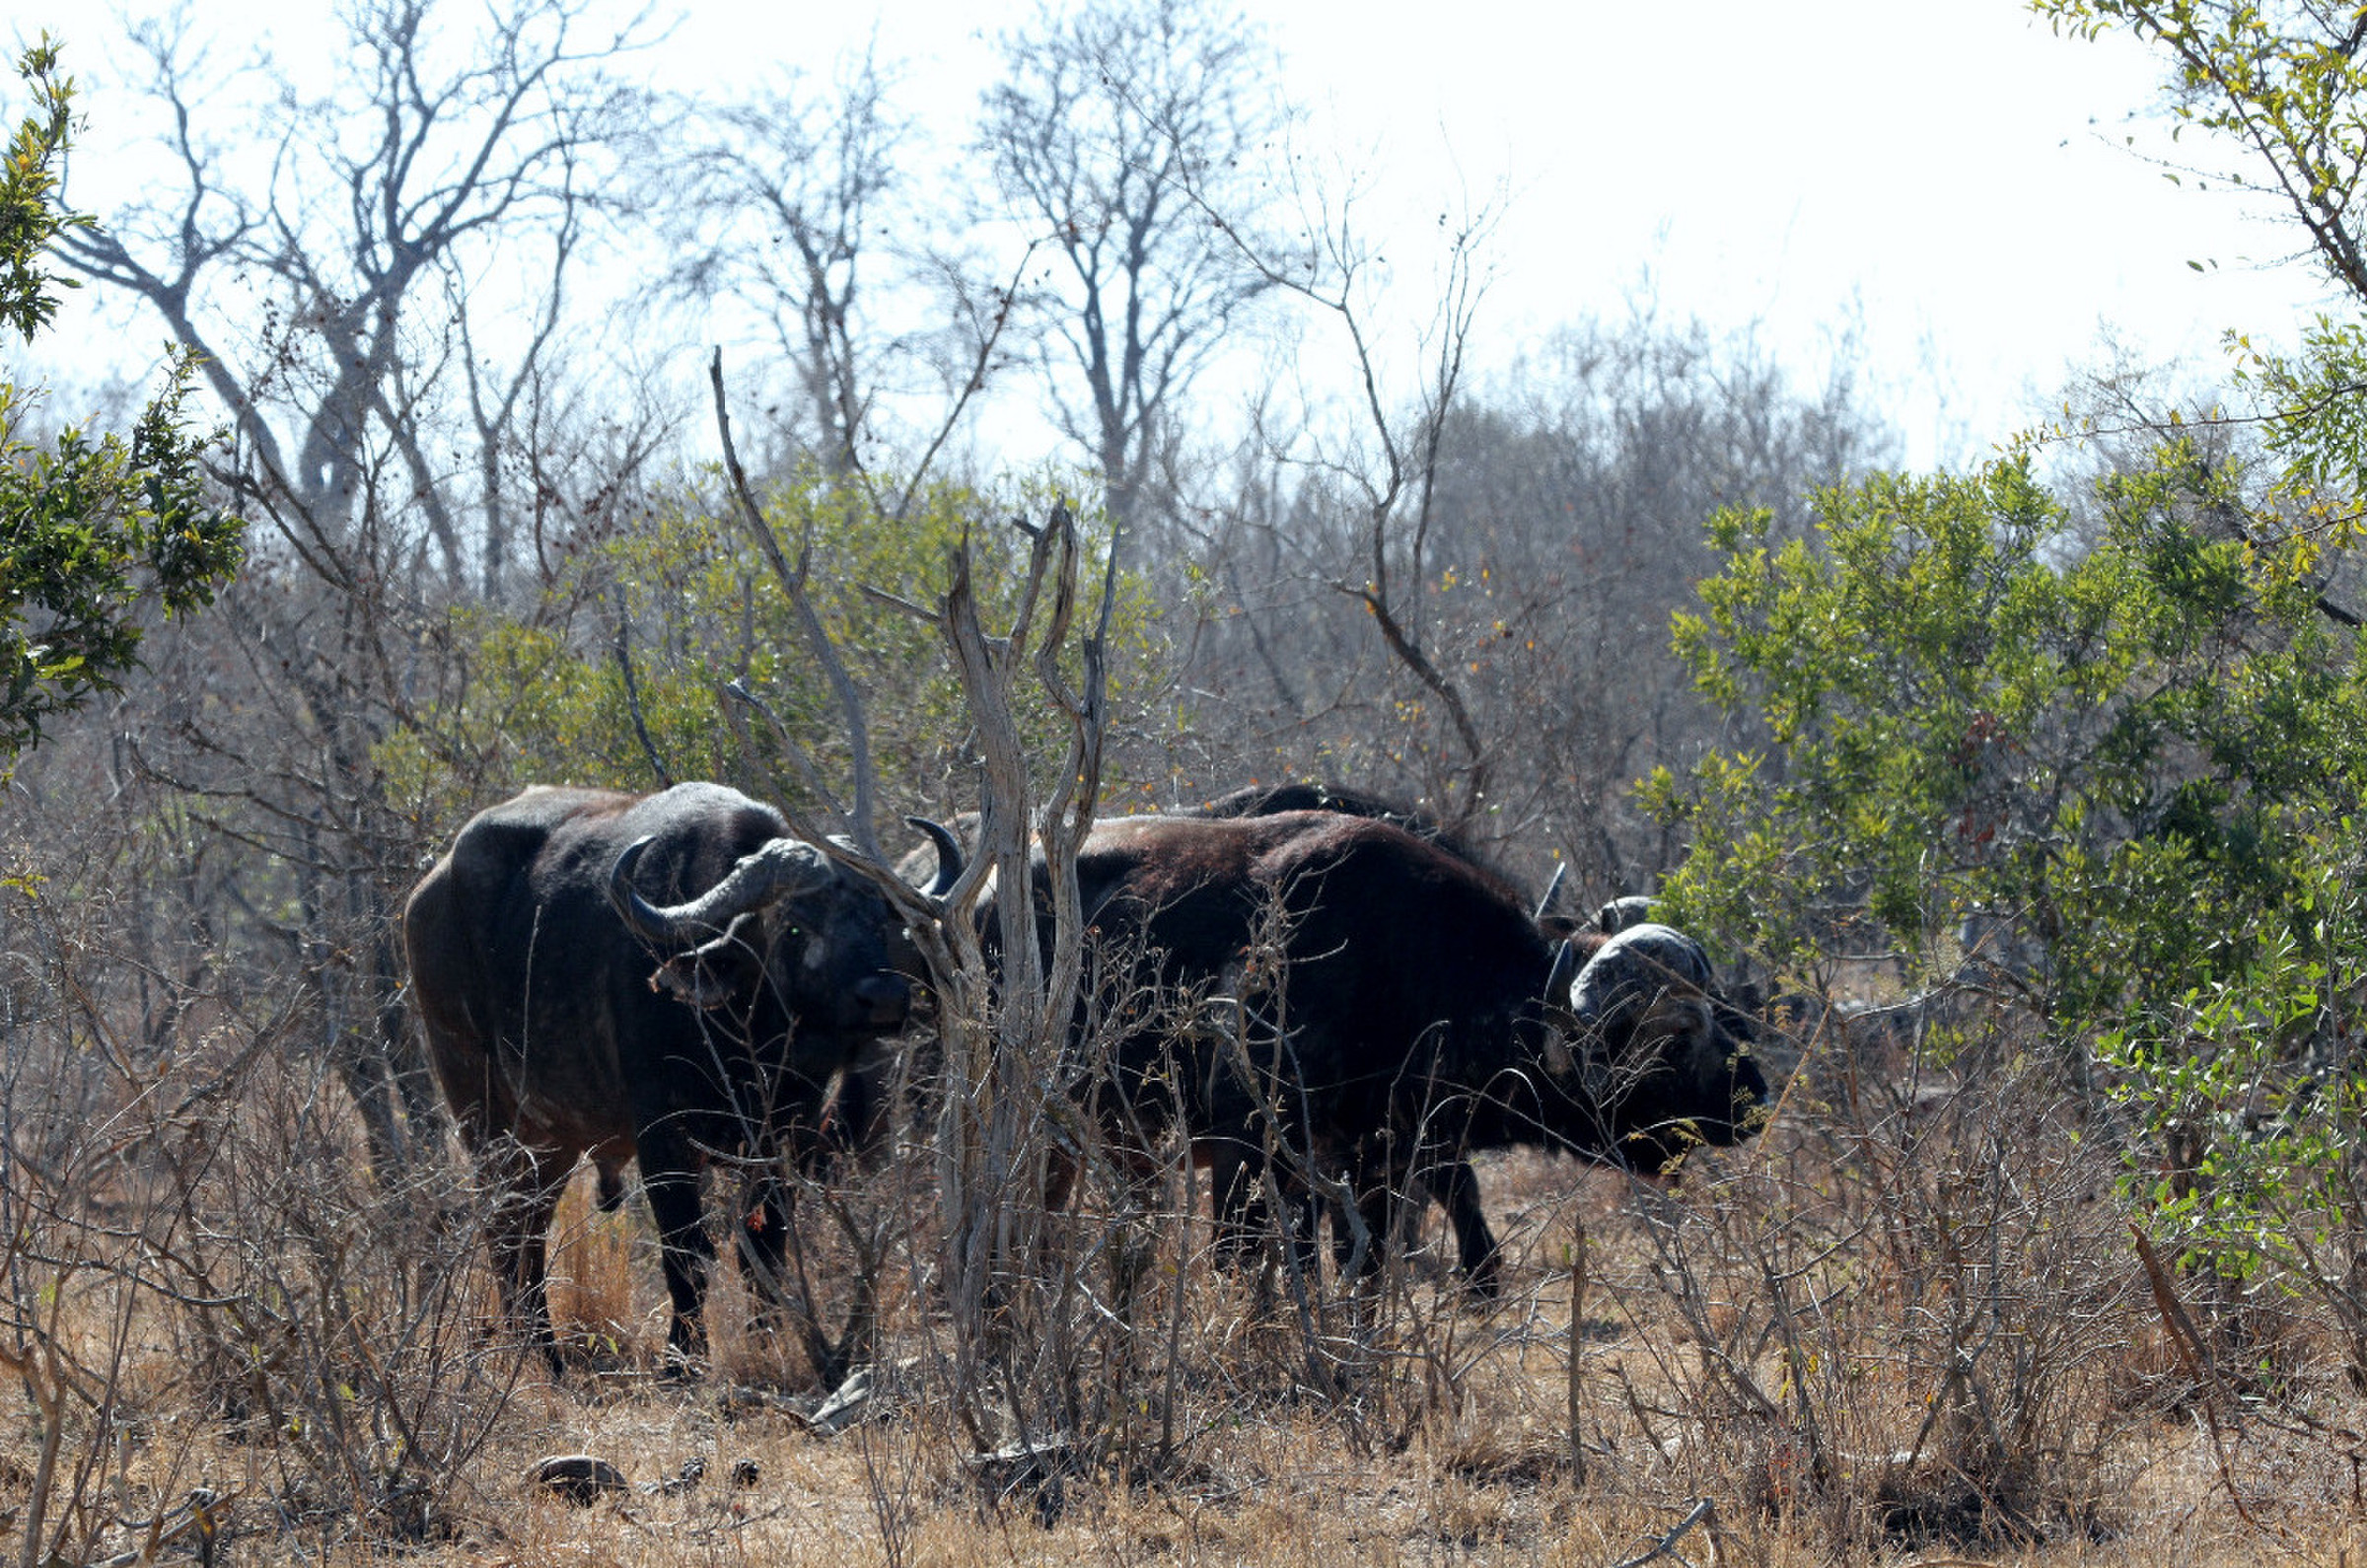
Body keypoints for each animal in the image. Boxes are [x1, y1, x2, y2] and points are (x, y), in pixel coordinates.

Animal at [402, 786, 927, 1374]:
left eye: (878, 920)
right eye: (795, 925)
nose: (884, 998)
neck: (747, 1042)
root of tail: (426, 893)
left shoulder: (785, 1134)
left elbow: (764, 1252)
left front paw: (763, 1344)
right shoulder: (661, 1133)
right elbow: (687, 1253)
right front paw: (681, 1363)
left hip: (551, 1140)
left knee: (529, 1228)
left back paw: (543, 1352)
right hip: (483, 1112)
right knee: (504, 1229)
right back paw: (539, 1356)